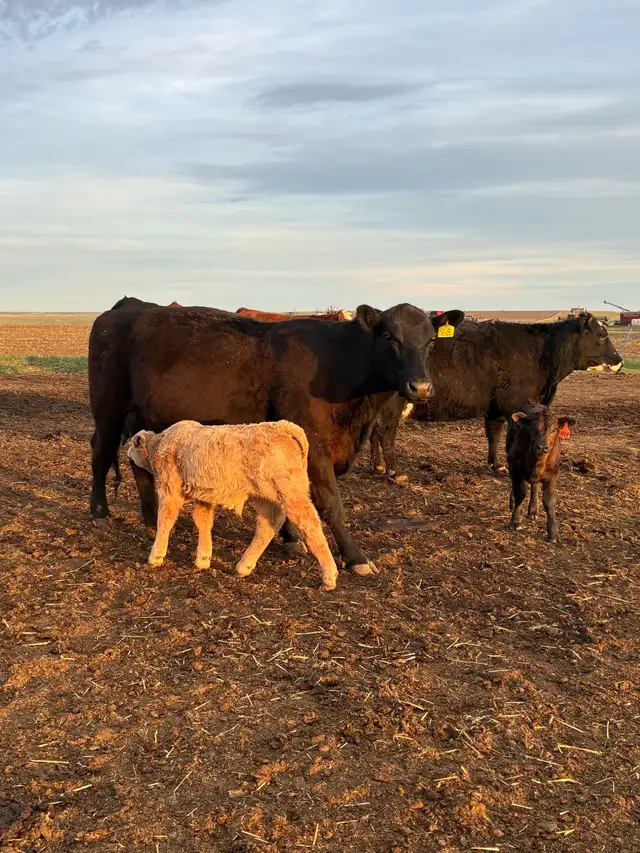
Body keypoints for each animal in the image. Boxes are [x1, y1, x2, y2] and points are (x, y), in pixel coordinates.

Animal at [127, 420, 339, 590]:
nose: (127, 453)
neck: (161, 443)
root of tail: (284, 426)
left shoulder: (169, 489)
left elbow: (165, 520)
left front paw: (156, 556)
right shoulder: (204, 495)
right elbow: (202, 520)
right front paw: (203, 559)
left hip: (291, 493)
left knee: (310, 524)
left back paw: (329, 577)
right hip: (266, 496)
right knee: (268, 525)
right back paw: (244, 567)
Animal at [370, 313, 622, 477]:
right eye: (601, 335)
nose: (619, 360)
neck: (540, 351)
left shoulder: (497, 406)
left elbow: (494, 433)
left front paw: (497, 464)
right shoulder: (515, 402)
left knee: (374, 430)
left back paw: (378, 466)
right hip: (394, 402)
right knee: (385, 429)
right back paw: (394, 471)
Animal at [506, 404, 575, 542]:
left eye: (554, 429)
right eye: (533, 429)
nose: (542, 447)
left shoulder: (553, 473)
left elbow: (549, 500)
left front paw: (553, 533)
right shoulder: (515, 466)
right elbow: (520, 493)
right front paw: (516, 521)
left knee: (534, 486)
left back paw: (533, 510)